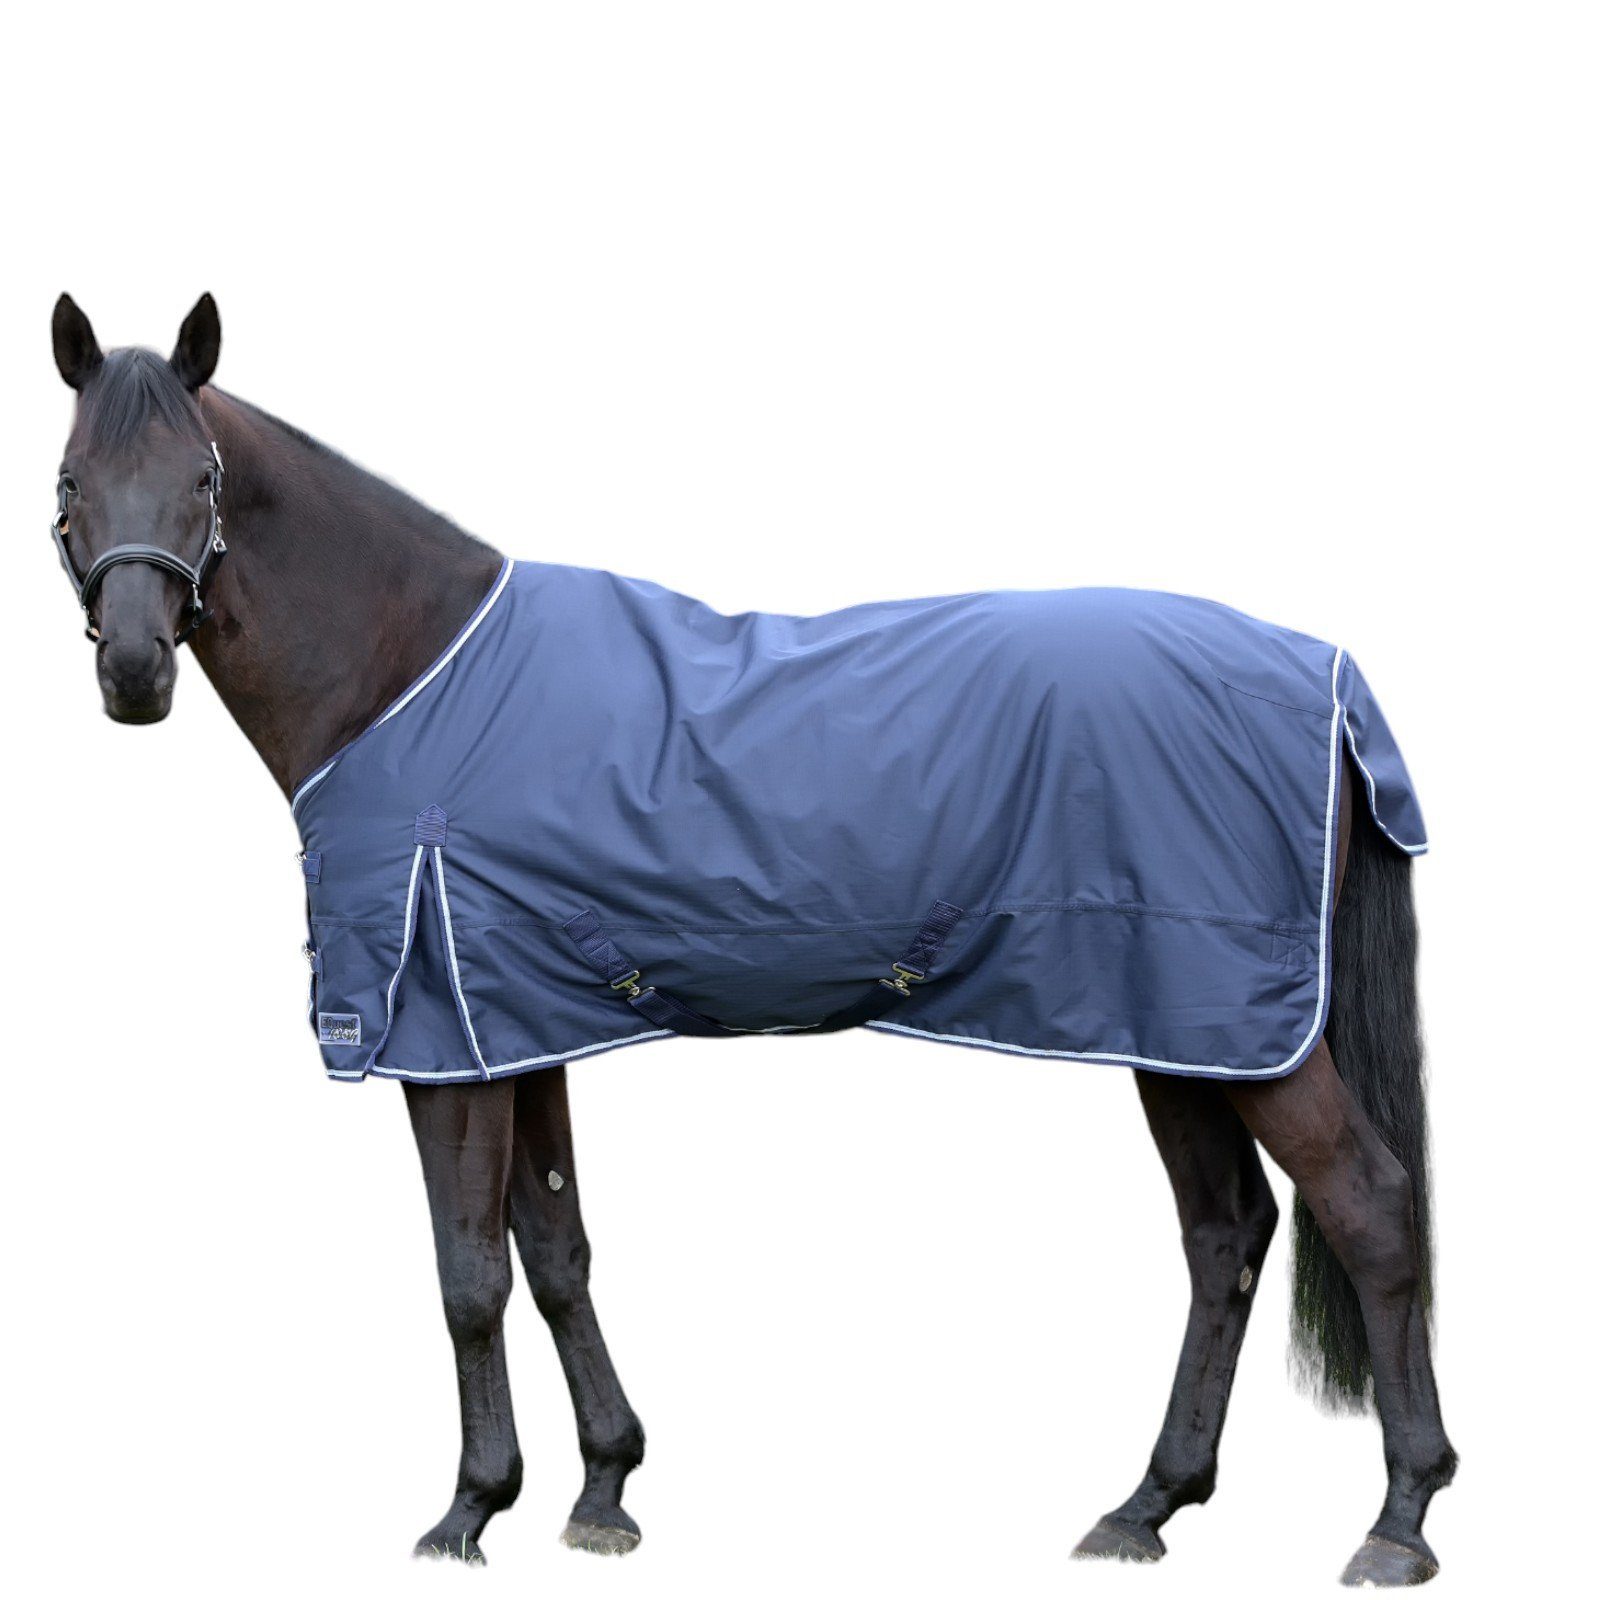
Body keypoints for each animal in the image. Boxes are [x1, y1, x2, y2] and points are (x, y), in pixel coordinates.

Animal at [45, 293, 1455, 1586]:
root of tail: (1328, 676)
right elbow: (554, 1253)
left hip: (1250, 1034)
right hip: (1181, 1028)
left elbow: (467, 1275)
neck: (409, 677)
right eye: (70, 481)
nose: (134, 675)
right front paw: (603, 1487)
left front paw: (468, 1509)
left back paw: (1397, 1519)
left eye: (203, 478)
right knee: (1226, 1236)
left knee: (1371, 1208)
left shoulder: (441, 1041)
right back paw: (1146, 1505)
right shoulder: (517, 1028)